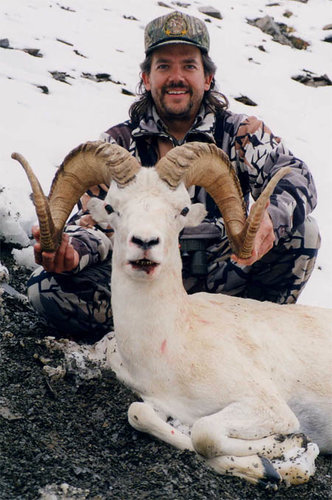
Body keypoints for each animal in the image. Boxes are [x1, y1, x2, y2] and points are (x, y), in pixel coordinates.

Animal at [13, 141, 332, 488]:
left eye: (181, 210)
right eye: (111, 208)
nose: (145, 242)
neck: (168, 348)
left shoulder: (268, 407)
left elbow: (205, 434)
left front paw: (291, 445)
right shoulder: (156, 403)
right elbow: (141, 415)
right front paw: (268, 466)